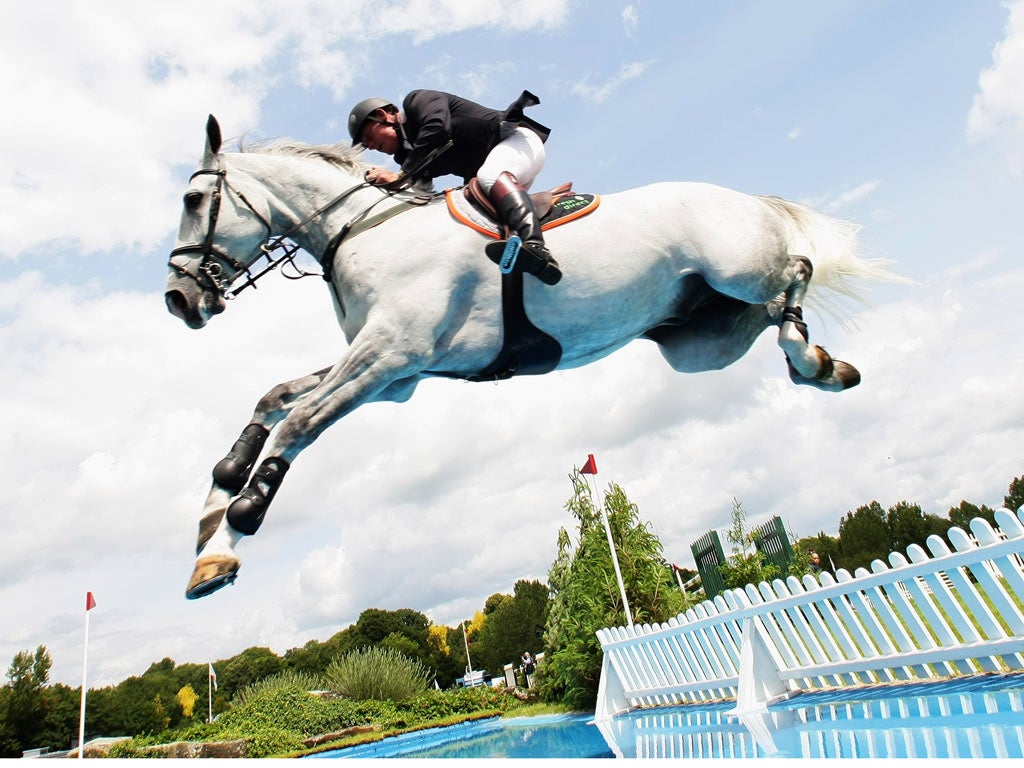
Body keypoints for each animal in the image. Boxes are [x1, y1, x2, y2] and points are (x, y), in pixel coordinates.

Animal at [165, 114, 897, 602]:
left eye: (194, 199)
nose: (178, 299)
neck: (360, 229)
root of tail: (743, 197)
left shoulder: (390, 355)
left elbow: (297, 423)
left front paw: (225, 544)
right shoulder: (393, 375)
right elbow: (273, 398)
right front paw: (213, 507)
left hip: (737, 269)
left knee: (797, 268)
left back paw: (811, 357)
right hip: (700, 342)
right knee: (772, 310)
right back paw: (821, 363)